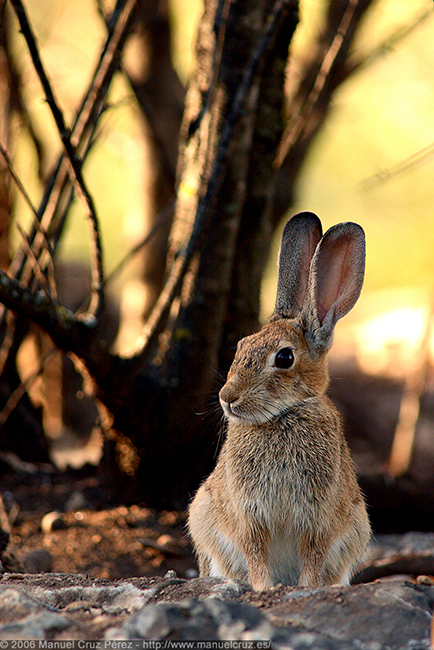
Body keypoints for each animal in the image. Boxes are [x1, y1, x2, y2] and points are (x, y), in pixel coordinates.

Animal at [188, 211, 372, 588]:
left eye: (284, 358)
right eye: (241, 346)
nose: (227, 397)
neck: (281, 416)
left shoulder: (317, 516)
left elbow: (313, 554)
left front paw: (306, 589)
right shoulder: (249, 514)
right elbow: (255, 551)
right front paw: (264, 587)